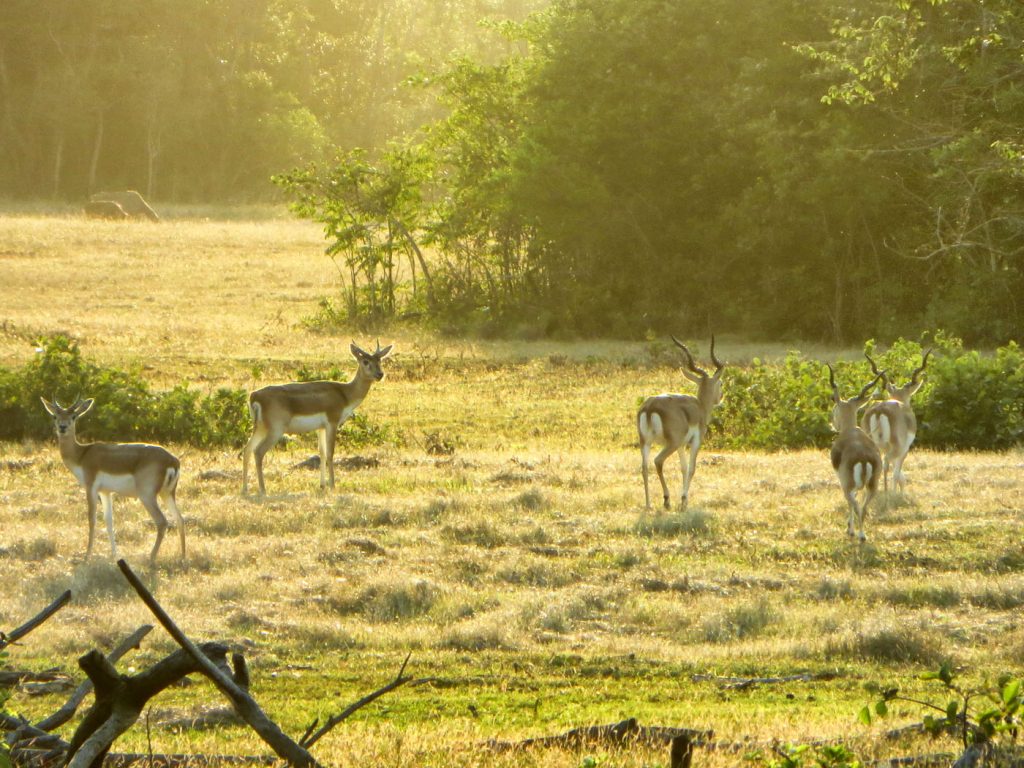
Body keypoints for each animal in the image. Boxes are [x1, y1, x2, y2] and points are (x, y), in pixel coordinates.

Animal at [39, 397, 186, 565]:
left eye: (74, 416)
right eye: (55, 416)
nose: (62, 427)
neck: (82, 454)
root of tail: (172, 460)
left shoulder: (91, 488)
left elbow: (92, 519)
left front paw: (86, 557)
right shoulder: (105, 492)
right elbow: (109, 522)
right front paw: (114, 555)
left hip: (147, 496)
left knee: (162, 522)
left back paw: (151, 559)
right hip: (167, 494)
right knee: (180, 519)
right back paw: (183, 558)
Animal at [243, 339, 395, 495]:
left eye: (380, 360)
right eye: (365, 361)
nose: (380, 374)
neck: (345, 394)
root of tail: (255, 396)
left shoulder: (320, 427)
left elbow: (321, 452)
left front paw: (322, 485)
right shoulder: (332, 422)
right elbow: (330, 452)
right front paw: (332, 485)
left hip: (260, 427)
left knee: (247, 449)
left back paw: (245, 489)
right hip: (275, 429)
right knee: (258, 451)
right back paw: (262, 489)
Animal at [634, 335, 724, 512]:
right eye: (721, 383)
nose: (720, 397)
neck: (699, 406)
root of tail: (650, 406)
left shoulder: (682, 445)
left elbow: (683, 468)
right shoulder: (695, 442)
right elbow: (691, 468)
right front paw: (683, 501)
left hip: (645, 442)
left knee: (644, 467)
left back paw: (648, 504)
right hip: (671, 444)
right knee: (657, 461)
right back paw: (666, 500)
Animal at [827, 364, 884, 540]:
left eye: (835, 408)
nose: (833, 424)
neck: (851, 429)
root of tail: (864, 458)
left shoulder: (844, 483)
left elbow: (850, 504)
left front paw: (848, 528)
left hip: (847, 486)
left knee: (856, 506)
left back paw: (858, 535)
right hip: (873, 486)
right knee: (864, 508)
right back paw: (863, 534)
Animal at [864, 350, 929, 495]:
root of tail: (880, 410)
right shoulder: (904, 449)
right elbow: (897, 472)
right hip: (895, 447)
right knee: (886, 463)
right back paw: (888, 492)